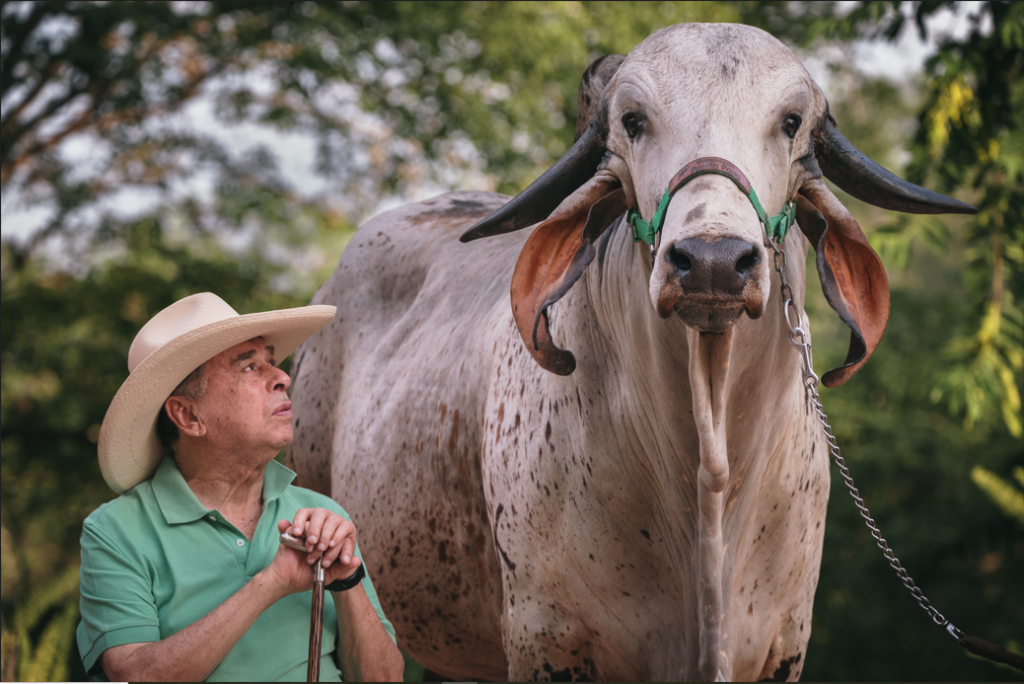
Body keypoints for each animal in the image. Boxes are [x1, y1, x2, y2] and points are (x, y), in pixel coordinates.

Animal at [284, 24, 970, 679]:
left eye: (791, 121)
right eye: (634, 121)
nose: (713, 262)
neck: (707, 480)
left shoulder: (784, 646)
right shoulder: (545, 639)